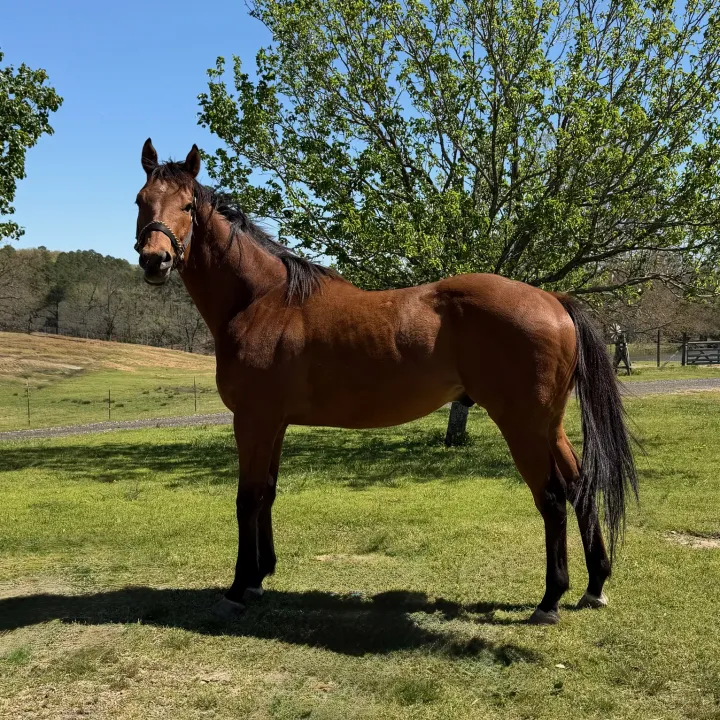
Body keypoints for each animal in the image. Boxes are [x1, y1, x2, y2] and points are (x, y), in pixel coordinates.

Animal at [133, 139, 638, 625]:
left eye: (187, 206)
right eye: (142, 200)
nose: (155, 260)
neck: (263, 300)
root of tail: (553, 299)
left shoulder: (252, 421)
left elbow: (247, 498)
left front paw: (238, 589)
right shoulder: (273, 424)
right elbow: (267, 494)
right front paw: (259, 577)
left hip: (523, 426)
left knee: (552, 498)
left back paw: (550, 600)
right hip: (548, 427)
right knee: (580, 486)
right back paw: (594, 585)